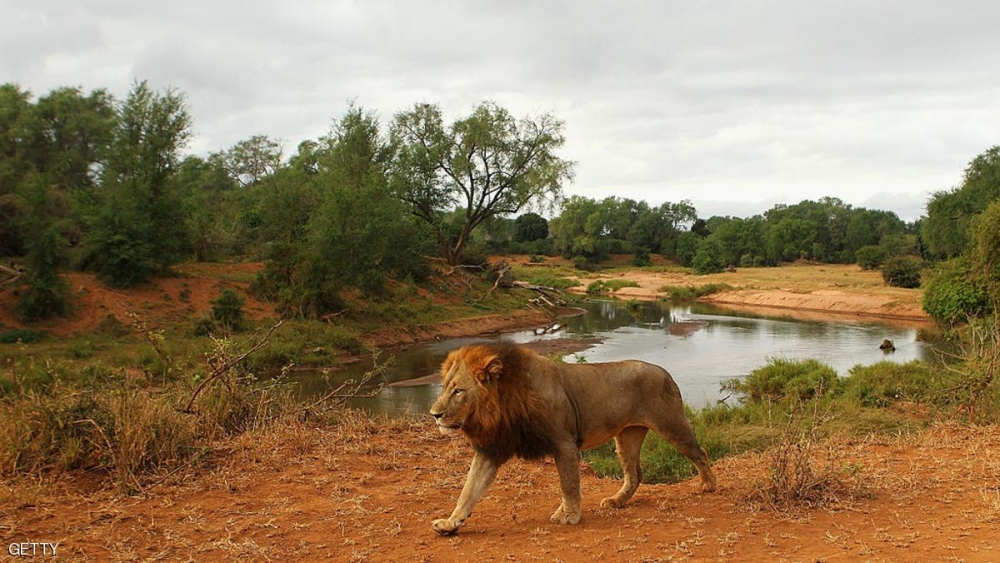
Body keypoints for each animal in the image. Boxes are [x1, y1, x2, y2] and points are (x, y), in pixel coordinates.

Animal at [426, 342, 716, 536]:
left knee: (699, 452)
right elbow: (468, 490)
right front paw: (450, 523)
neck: (501, 406)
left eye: (459, 391)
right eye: (444, 387)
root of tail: (664, 371)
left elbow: (569, 483)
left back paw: (708, 485)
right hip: (627, 436)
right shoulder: (491, 449)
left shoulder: (563, 442)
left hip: (671, 424)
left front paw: (568, 515)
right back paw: (616, 502)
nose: (435, 414)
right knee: (634, 474)